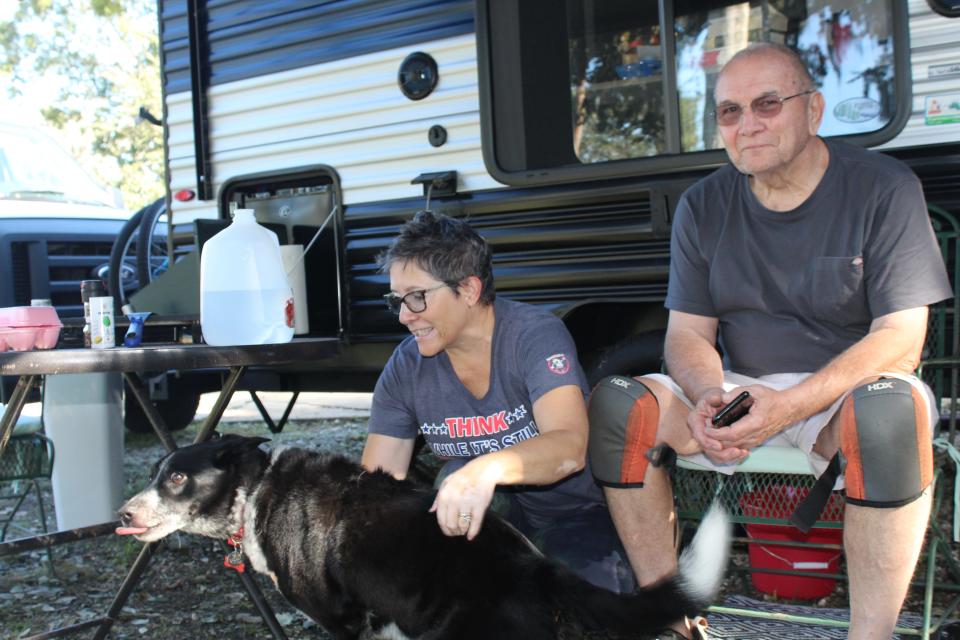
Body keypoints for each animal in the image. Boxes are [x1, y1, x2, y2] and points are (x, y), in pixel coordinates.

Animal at [116, 436, 728, 640]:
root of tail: (534, 563)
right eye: (152, 473)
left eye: (176, 478)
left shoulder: (342, 620)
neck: (257, 489)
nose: (122, 513)